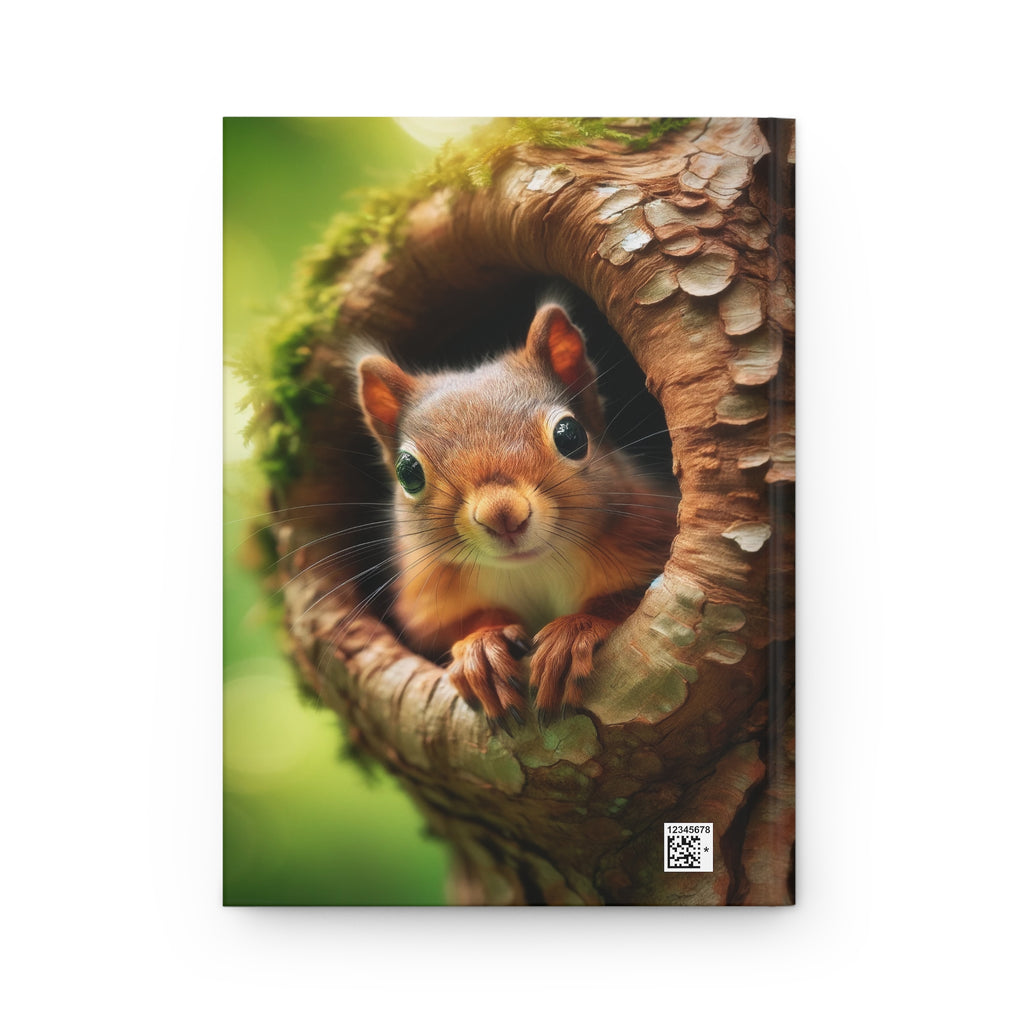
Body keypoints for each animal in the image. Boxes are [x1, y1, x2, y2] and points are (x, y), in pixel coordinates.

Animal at [356, 301, 677, 731]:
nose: (502, 515)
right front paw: (482, 648)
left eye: (571, 436)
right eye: (408, 471)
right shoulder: (426, 598)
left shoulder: (649, 531)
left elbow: (627, 599)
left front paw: (573, 632)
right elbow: (449, 628)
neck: (530, 569)